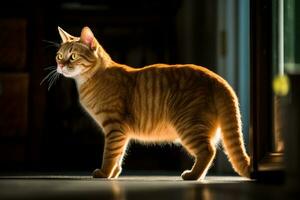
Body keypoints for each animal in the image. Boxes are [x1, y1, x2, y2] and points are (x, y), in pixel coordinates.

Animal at [54, 25, 251, 180]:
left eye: (72, 56)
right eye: (59, 56)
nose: (60, 66)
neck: (90, 80)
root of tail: (219, 79)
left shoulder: (114, 126)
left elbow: (110, 154)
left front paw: (105, 173)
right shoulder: (121, 132)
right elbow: (119, 154)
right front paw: (114, 173)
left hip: (188, 126)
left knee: (208, 151)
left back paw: (193, 175)